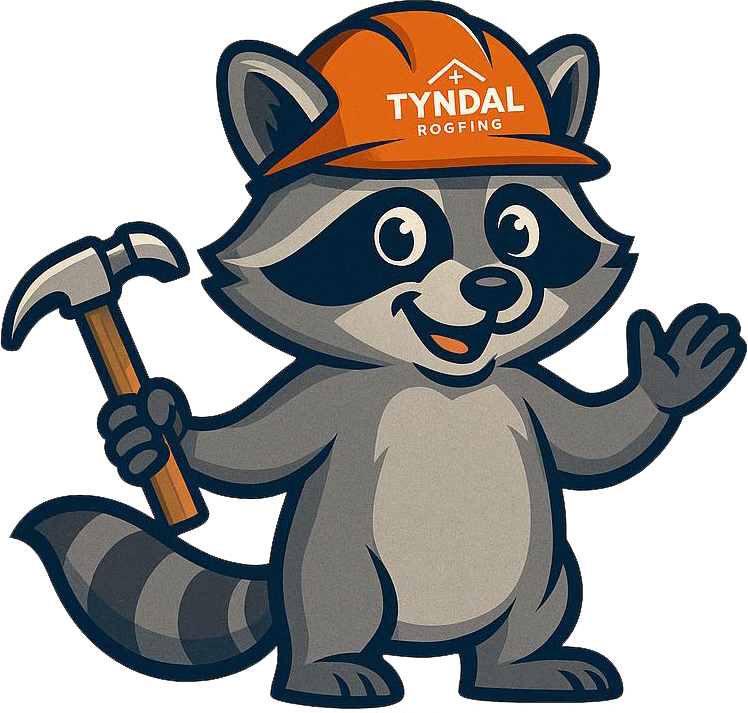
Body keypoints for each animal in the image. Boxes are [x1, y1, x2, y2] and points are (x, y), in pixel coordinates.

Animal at [14, 3, 744, 708]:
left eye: (519, 229)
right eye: (399, 235)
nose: (494, 285)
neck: (442, 382)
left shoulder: (522, 387)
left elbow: (592, 441)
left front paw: (669, 376)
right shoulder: (328, 394)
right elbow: (251, 451)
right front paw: (152, 424)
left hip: (541, 571)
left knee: (525, 618)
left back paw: (519, 669)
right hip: (335, 567)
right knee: (335, 610)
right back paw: (330, 670)